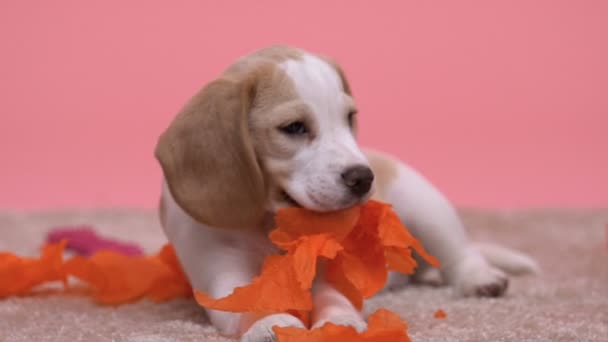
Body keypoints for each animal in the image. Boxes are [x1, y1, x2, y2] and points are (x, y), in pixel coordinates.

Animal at [156, 46, 536, 342]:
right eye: (294, 127)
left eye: (349, 117)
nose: (364, 178)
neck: (272, 224)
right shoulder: (220, 270)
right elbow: (251, 299)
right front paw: (271, 323)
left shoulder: (335, 272)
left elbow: (334, 297)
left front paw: (339, 323)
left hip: (428, 209)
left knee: (460, 255)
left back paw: (480, 278)